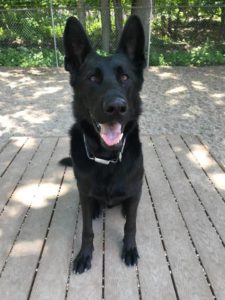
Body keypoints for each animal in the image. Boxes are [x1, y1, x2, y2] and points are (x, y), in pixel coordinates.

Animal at [62, 14, 145, 274]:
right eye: (92, 78)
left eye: (125, 77)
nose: (116, 107)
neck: (106, 159)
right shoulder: (84, 193)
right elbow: (87, 230)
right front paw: (84, 255)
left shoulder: (135, 192)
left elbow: (131, 225)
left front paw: (129, 248)